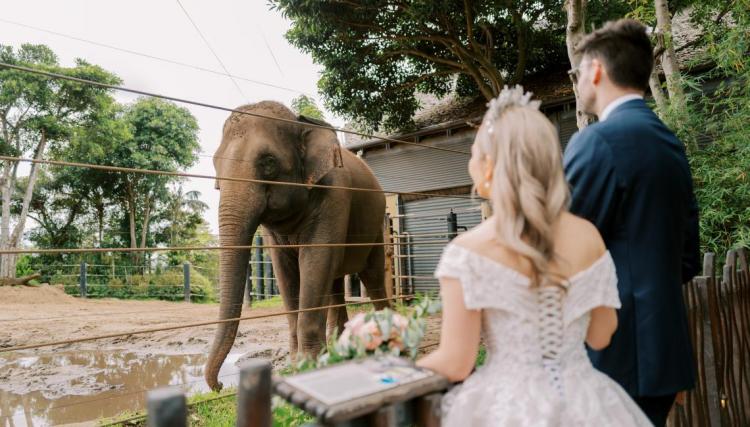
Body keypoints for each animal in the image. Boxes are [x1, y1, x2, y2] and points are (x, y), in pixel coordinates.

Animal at [207, 100, 394, 392]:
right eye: (215, 165)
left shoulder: (334, 195)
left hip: (375, 229)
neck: (300, 123)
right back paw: (339, 348)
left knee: (372, 278)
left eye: (268, 162)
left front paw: (309, 364)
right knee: (334, 284)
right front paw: (299, 364)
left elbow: (315, 260)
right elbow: (285, 271)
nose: (219, 386)